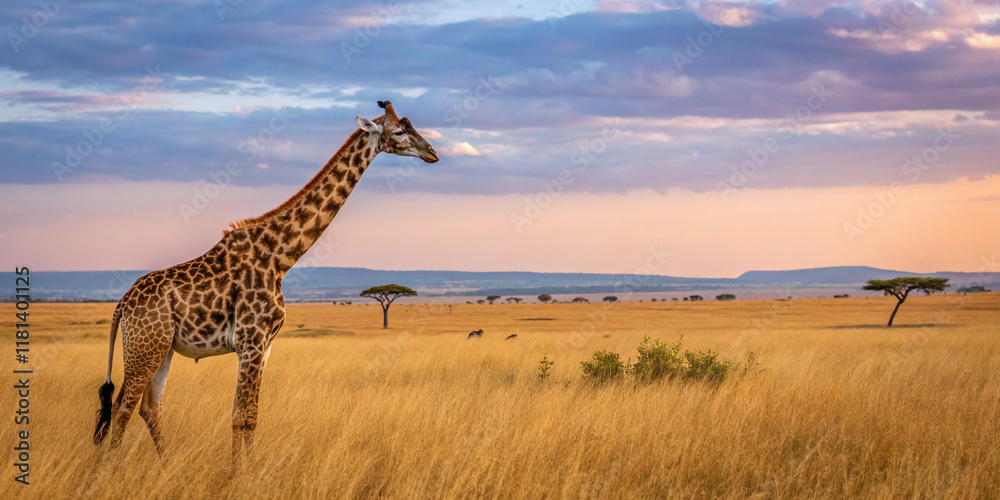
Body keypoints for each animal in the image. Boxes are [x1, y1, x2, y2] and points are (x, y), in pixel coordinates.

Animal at [92, 101, 438, 460]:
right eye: (398, 131)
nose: (432, 152)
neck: (280, 258)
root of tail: (122, 305)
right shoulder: (250, 341)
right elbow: (240, 416)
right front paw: (236, 471)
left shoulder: (266, 345)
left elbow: (252, 416)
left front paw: (247, 467)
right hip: (144, 349)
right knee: (123, 406)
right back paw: (114, 467)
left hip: (161, 349)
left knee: (148, 407)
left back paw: (165, 464)